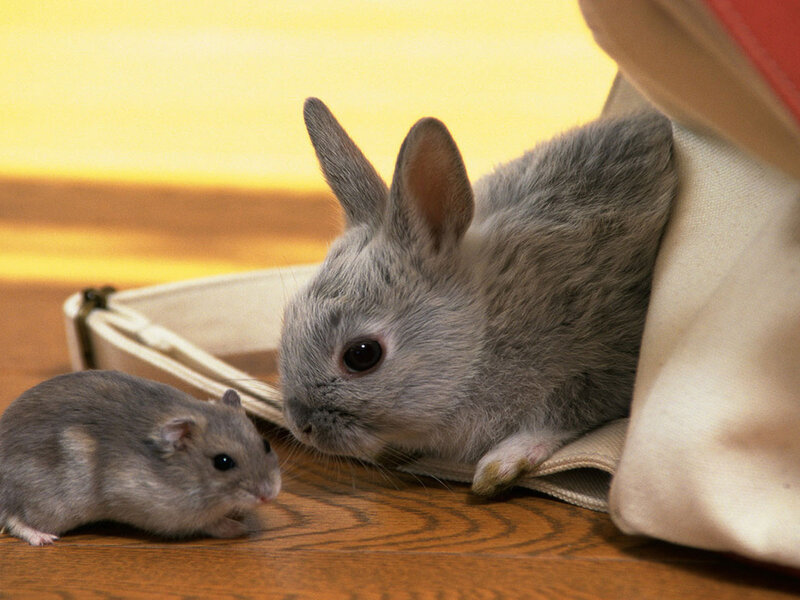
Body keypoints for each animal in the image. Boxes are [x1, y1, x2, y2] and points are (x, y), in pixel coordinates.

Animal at [0, 370, 281, 546]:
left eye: (266, 444)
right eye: (223, 462)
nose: (269, 495)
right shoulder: (167, 515)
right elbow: (208, 523)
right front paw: (238, 528)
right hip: (51, 505)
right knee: (14, 518)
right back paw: (44, 539)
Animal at [279, 98, 677, 496]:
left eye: (362, 355)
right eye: (288, 317)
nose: (302, 426)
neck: (483, 333)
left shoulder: (601, 358)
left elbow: (559, 418)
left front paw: (499, 466)